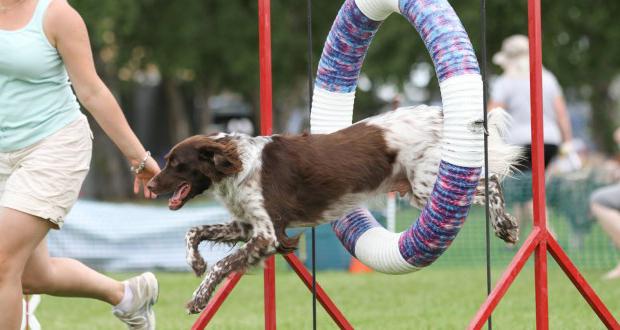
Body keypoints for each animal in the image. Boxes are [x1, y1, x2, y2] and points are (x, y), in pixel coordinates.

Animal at [148, 105, 520, 312]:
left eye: (175, 164)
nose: (150, 184)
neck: (239, 164)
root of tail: (441, 115)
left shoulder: (268, 234)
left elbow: (223, 265)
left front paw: (199, 297)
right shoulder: (248, 225)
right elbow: (194, 231)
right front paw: (195, 262)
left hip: (428, 185)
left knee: (490, 182)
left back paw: (505, 226)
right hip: (418, 190)